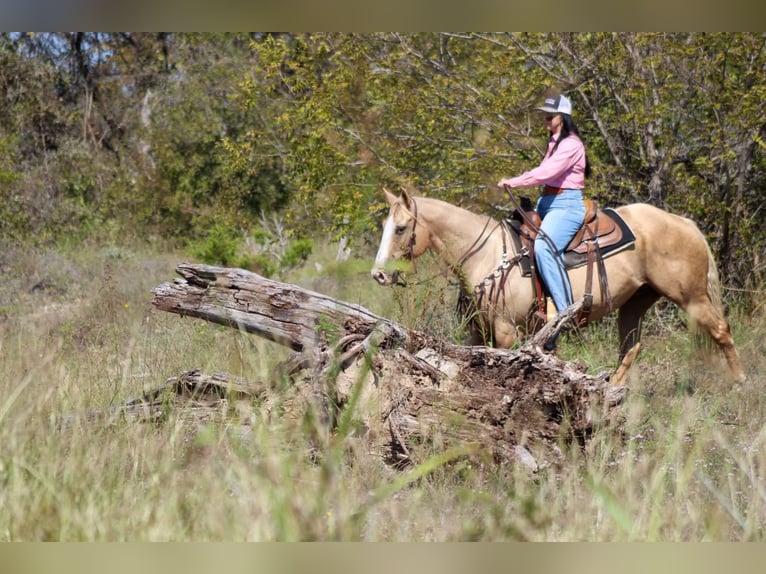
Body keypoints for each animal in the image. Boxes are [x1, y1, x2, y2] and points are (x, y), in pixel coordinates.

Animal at [370, 188, 745, 382]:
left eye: (401, 228)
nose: (378, 275)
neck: (488, 255)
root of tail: (683, 222)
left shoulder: (506, 330)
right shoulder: (478, 330)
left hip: (692, 298)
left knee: (722, 331)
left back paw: (739, 384)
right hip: (636, 301)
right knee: (631, 348)